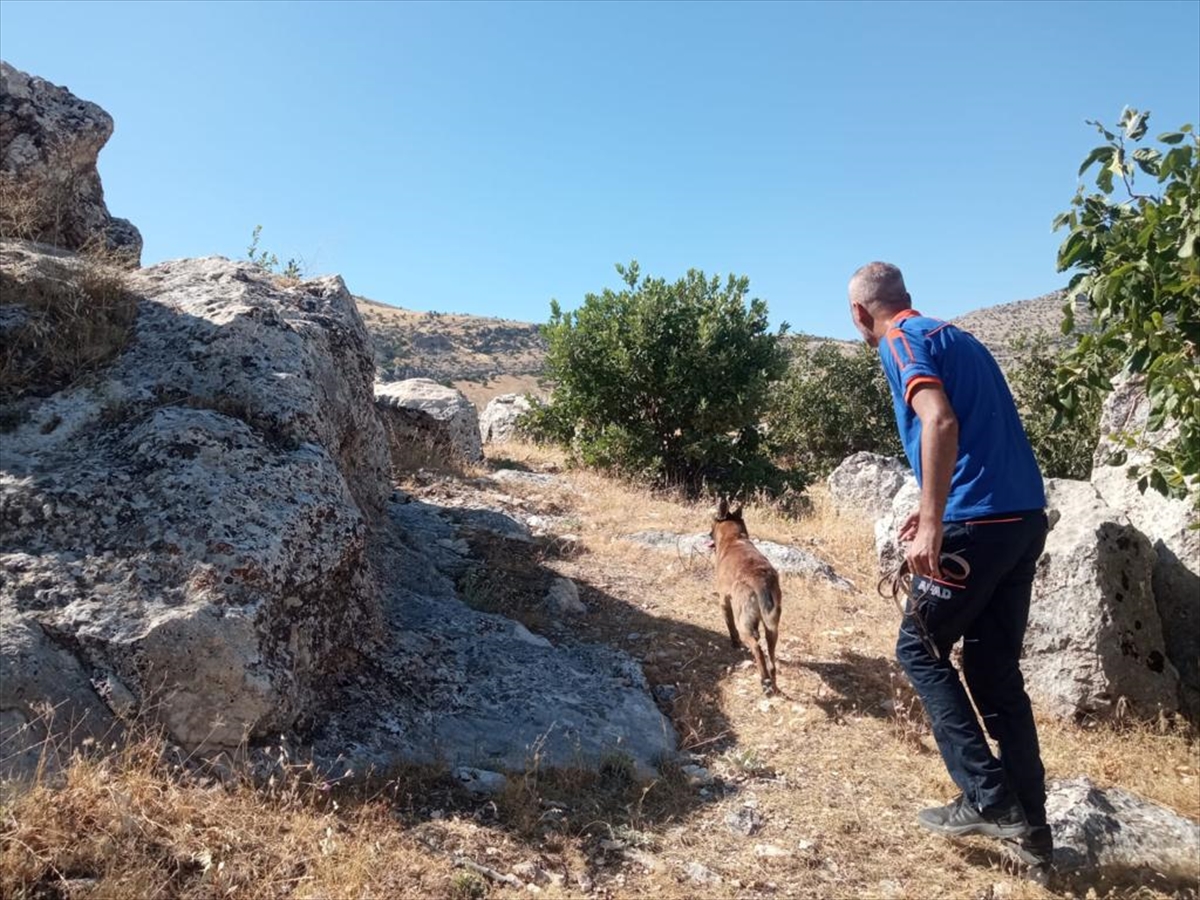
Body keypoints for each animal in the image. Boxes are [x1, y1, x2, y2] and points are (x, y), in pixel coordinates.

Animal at [705, 501, 782, 696]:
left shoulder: (724, 600)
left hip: (745, 623)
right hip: (772, 629)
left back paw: (764, 682)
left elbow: (730, 625)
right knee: (771, 658)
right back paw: (773, 683)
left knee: (757, 648)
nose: (707, 535)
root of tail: (760, 579)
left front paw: (734, 643)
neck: (735, 538)